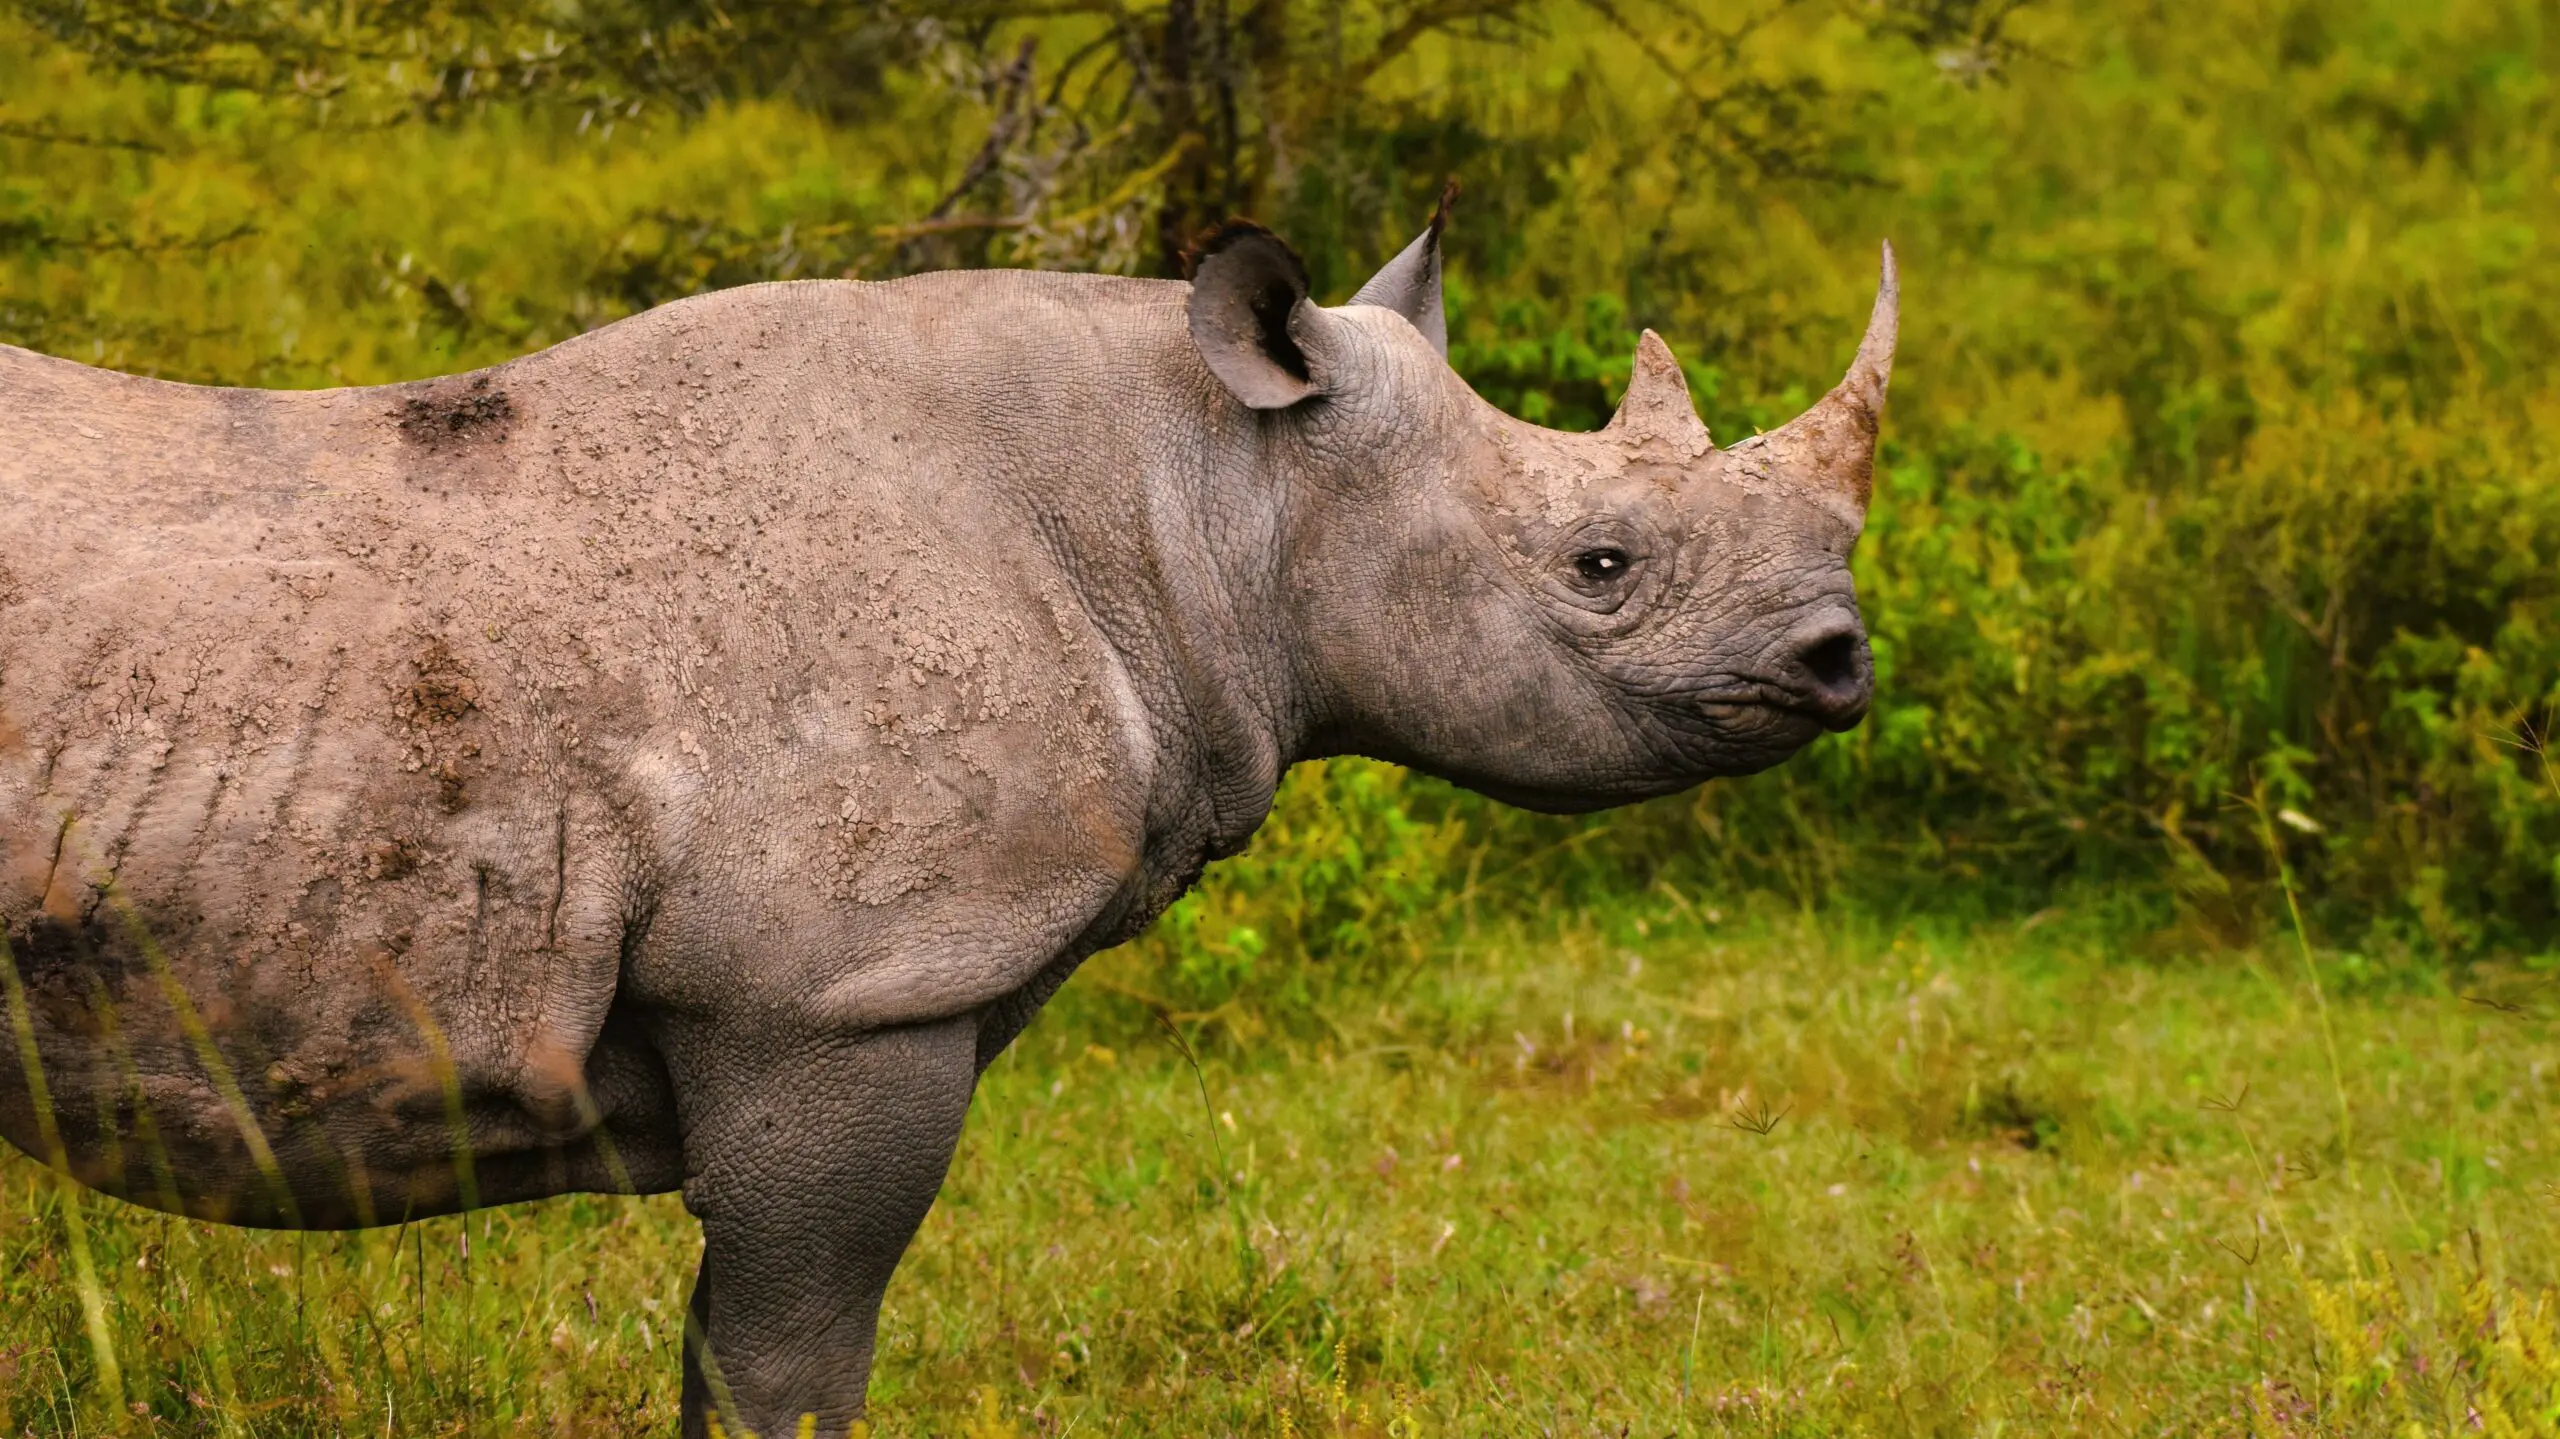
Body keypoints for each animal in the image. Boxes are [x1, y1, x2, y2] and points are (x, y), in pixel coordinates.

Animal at [0, 208, 1894, 1435]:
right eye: (1601, 563)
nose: (1840, 656)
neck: (1206, 493)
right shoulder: (844, 992)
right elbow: (790, 1362)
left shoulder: (828, 996)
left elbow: (729, 1350)